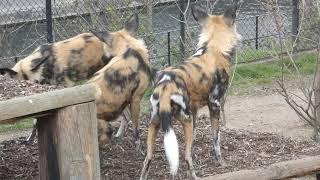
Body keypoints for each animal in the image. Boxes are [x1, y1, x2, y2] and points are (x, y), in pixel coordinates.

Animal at [87, 13, 153, 149]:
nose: (101, 59)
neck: (131, 49)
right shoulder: (136, 99)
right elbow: (135, 127)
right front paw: (137, 145)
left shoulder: (123, 100)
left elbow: (125, 118)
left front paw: (120, 136)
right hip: (104, 125)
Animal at [140, 1, 240, 179]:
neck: (212, 47)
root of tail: (166, 85)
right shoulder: (214, 104)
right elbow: (216, 139)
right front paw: (220, 162)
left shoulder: (194, 111)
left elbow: (192, 144)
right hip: (184, 119)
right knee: (185, 156)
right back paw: (194, 175)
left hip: (155, 123)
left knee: (148, 159)